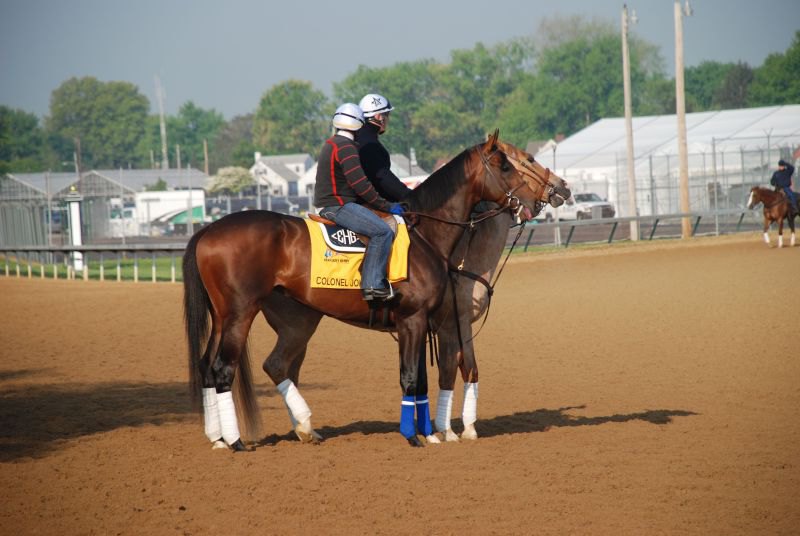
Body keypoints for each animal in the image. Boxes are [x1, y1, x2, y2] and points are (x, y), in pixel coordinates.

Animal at [183, 130, 568, 448]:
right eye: (510, 164)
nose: (560, 190)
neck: (426, 235)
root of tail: (208, 230)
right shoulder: (423, 320)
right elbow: (418, 376)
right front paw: (420, 435)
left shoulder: (423, 325)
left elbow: (425, 378)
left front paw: (432, 431)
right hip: (241, 315)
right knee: (225, 369)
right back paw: (236, 440)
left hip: (241, 319)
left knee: (227, 366)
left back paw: (241, 435)